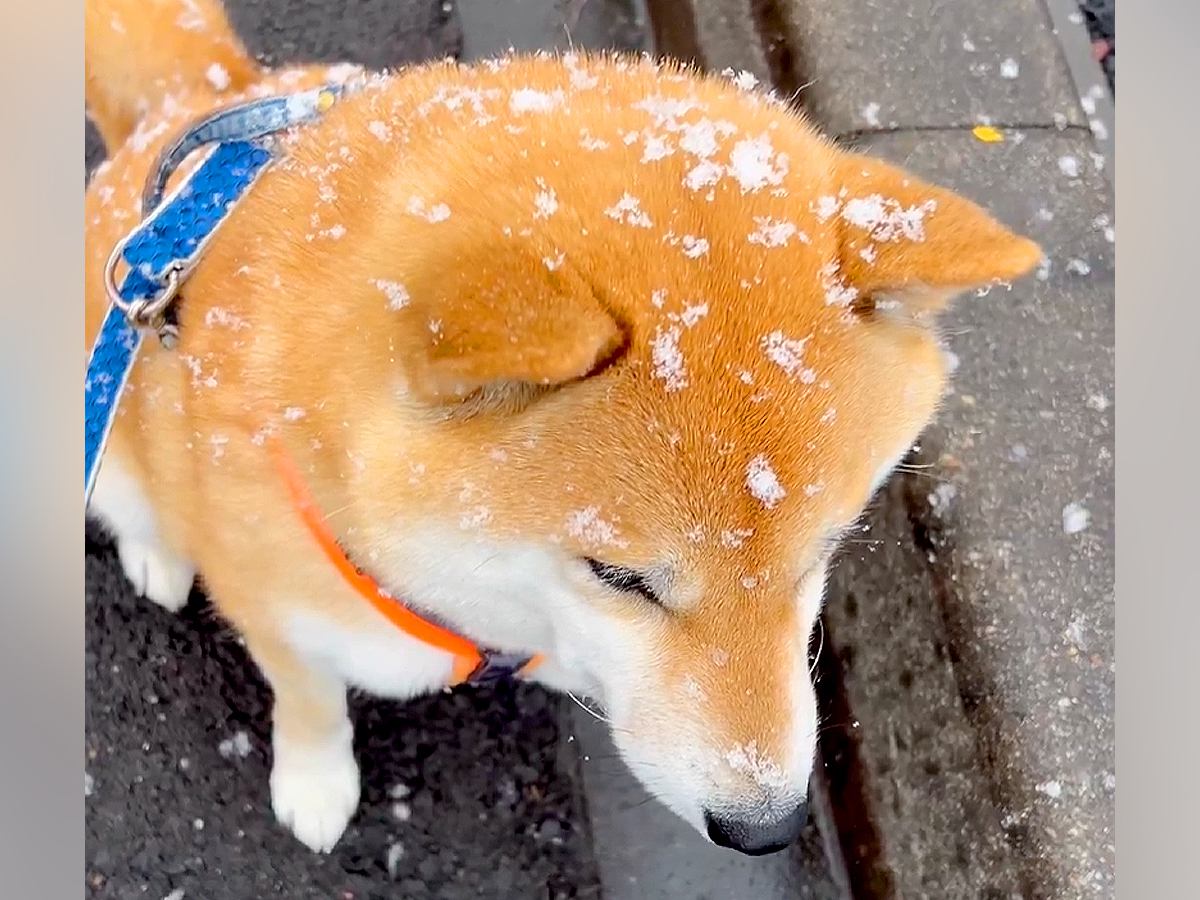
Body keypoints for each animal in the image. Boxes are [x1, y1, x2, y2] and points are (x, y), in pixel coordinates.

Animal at [84, 0, 1041, 859]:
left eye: (825, 552)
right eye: (619, 576)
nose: (765, 830)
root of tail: (199, 102)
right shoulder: (280, 615)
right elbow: (309, 703)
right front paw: (316, 782)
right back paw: (159, 553)